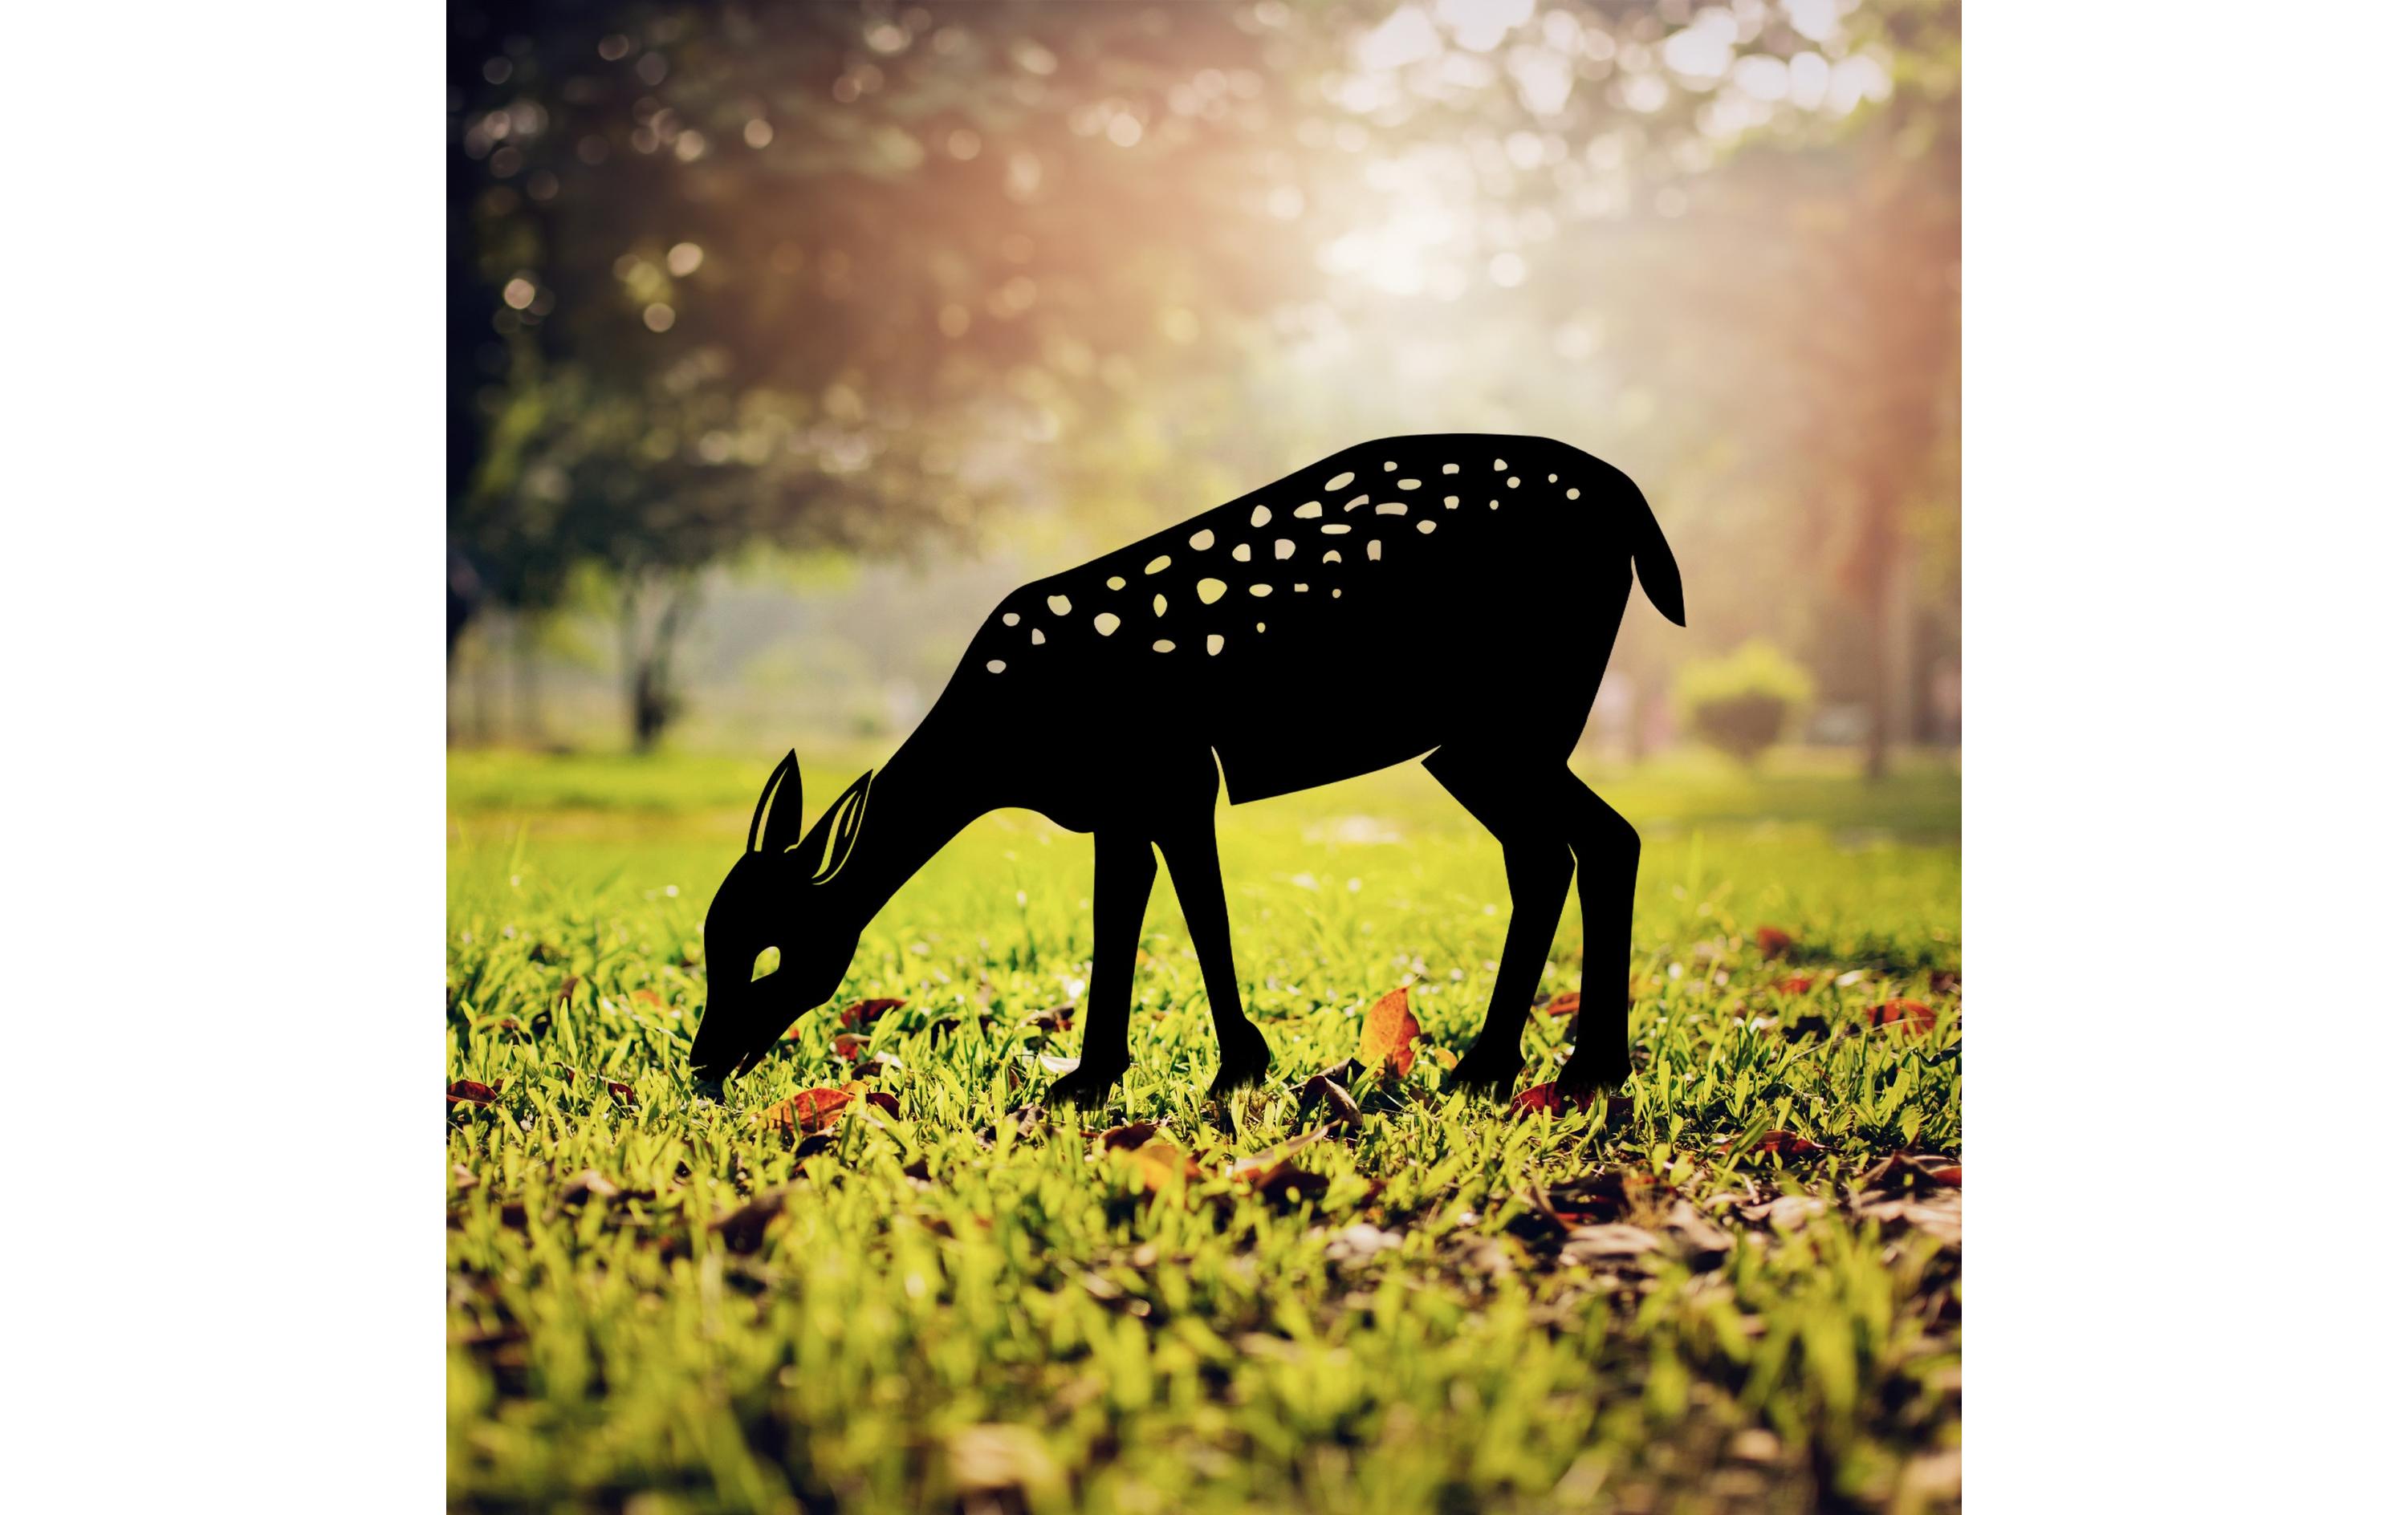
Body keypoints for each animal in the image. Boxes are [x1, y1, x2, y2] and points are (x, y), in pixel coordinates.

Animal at [687, 434, 1684, 1108]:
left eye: (771, 949)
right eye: (709, 946)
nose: (702, 1062)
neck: (1007, 744)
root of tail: (1638, 512)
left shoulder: (1166, 769)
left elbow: (1183, 908)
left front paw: (1210, 1071)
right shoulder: (1127, 798)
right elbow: (1144, 907)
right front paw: (1118, 1075)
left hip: (1514, 710)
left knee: (1590, 841)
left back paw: (1554, 1068)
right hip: (1483, 738)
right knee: (1563, 849)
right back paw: (1527, 1067)